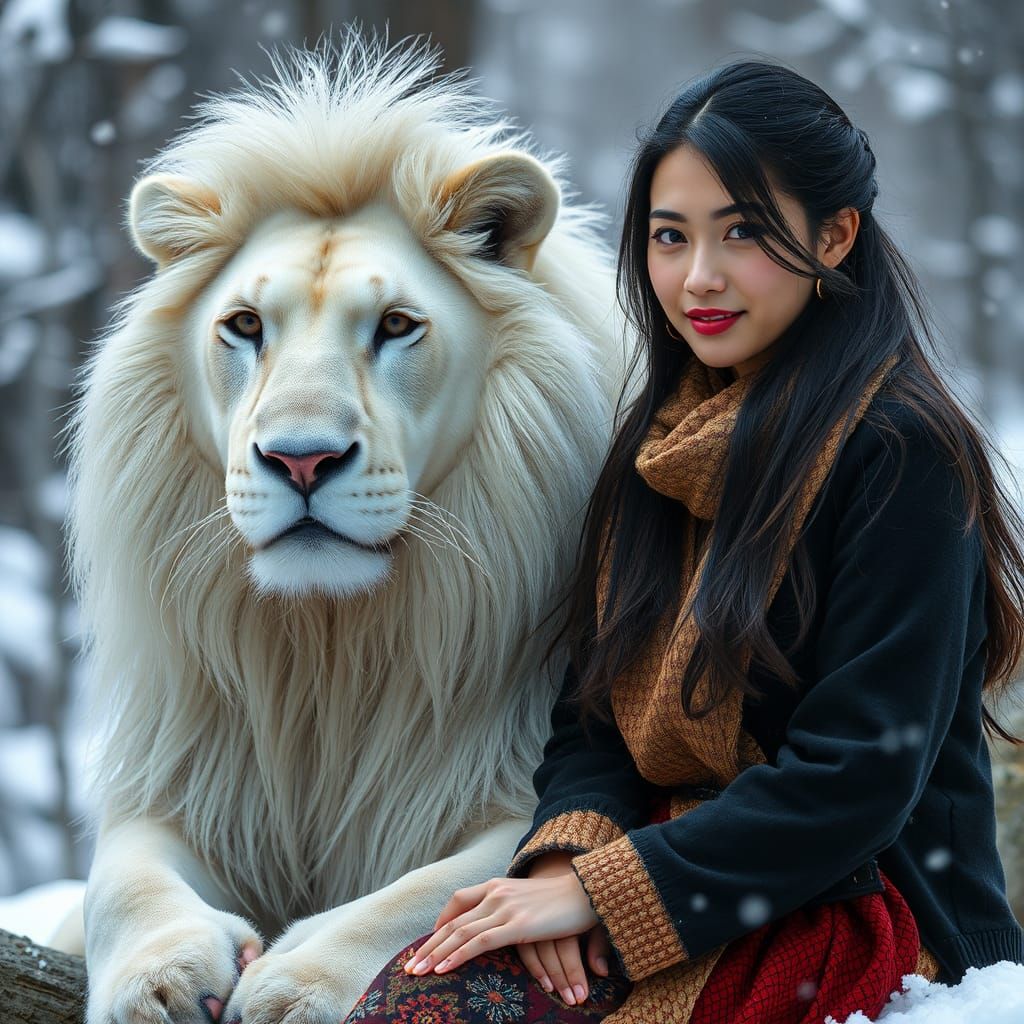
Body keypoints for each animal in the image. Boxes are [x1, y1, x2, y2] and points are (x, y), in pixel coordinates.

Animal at [67, 34, 625, 1024]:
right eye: (244, 325)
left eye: (397, 325)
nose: (300, 459)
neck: (333, 654)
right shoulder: (190, 774)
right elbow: (118, 877)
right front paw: (159, 979)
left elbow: (444, 891)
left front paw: (299, 983)